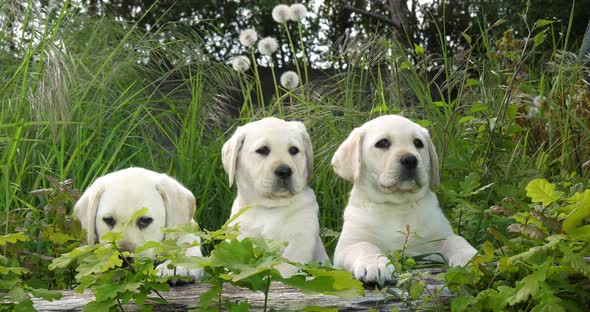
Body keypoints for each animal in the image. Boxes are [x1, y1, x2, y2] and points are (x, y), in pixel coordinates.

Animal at [223, 117, 330, 276]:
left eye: (294, 150)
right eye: (262, 150)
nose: (284, 171)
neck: (270, 206)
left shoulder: (300, 239)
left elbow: (285, 268)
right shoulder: (241, 236)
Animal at [336, 114, 478, 286]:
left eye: (418, 143)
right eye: (382, 143)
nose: (410, 159)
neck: (397, 204)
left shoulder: (438, 239)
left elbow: (456, 240)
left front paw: (471, 258)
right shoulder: (346, 246)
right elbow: (364, 245)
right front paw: (375, 263)